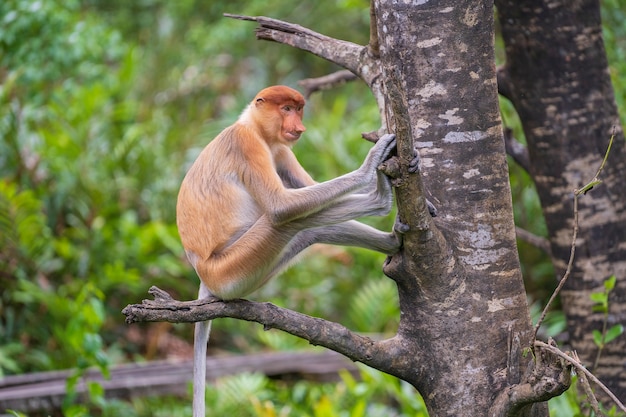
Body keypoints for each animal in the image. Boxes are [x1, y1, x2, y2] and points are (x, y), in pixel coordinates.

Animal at [173, 85, 402, 416]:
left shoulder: (281, 151)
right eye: (286, 109)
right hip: (230, 270)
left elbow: (308, 189)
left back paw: (390, 230)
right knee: (285, 221)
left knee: (310, 228)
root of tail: (203, 273)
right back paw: (382, 200)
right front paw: (370, 165)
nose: (300, 127)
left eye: (298, 109)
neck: (254, 127)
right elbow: (281, 206)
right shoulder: (247, 145)